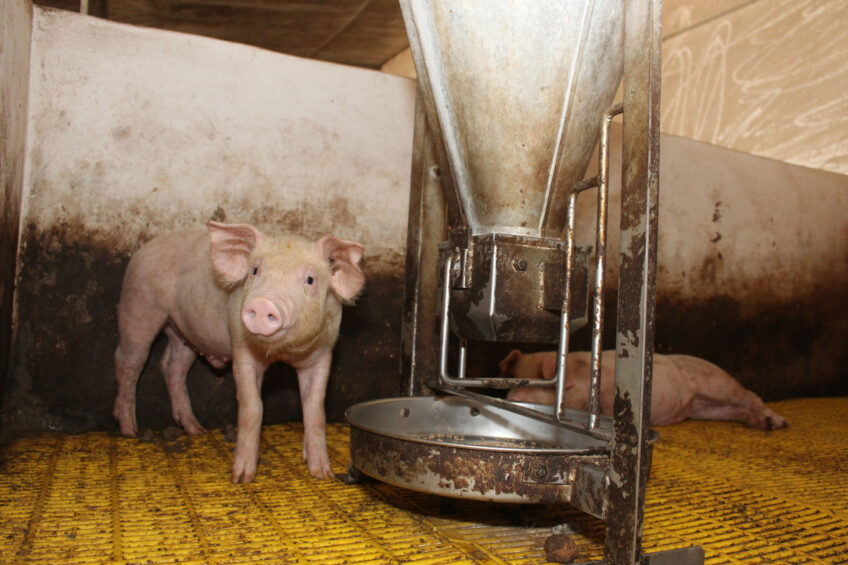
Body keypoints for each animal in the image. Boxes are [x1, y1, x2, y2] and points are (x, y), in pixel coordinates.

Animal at [113, 219, 364, 480]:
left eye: (310, 279)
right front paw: (242, 477)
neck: (282, 352)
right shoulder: (242, 349)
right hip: (138, 305)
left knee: (172, 367)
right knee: (127, 362)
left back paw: (195, 429)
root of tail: (143, 249)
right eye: (254, 271)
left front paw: (323, 474)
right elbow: (252, 408)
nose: (263, 303)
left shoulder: (322, 354)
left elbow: (314, 411)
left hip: (184, 334)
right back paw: (130, 430)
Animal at [496, 348, 788, 428]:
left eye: (529, 383)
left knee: (750, 396)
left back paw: (777, 422)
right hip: (705, 409)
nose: (512, 396)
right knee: (734, 411)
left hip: (718, 382)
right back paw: (763, 424)